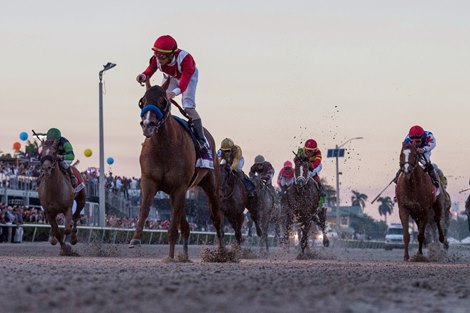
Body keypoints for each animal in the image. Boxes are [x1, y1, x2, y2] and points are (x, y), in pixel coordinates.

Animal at [127, 84, 225, 260]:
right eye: (142, 101)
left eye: (163, 101)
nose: (147, 124)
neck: (164, 147)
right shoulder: (149, 181)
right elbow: (144, 209)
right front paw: (136, 239)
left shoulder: (179, 187)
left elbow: (173, 226)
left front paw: (170, 257)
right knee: (185, 224)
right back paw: (184, 255)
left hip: (210, 185)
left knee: (216, 218)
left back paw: (221, 252)